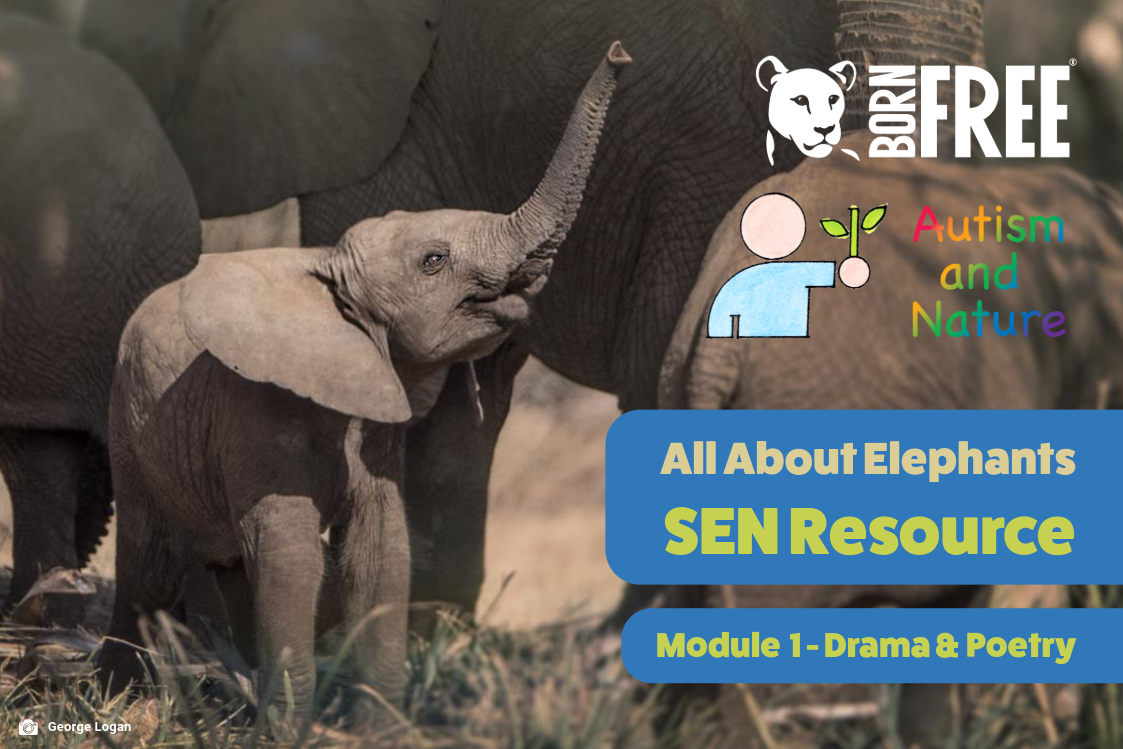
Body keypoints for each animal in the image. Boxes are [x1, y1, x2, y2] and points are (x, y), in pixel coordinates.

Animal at [96, 45, 628, 722]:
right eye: (433, 261)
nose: (619, 51)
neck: (329, 276)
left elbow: (381, 551)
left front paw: (380, 726)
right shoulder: (256, 413)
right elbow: (292, 554)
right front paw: (289, 729)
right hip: (130, 428)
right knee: (148, 566)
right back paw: (113, 698)